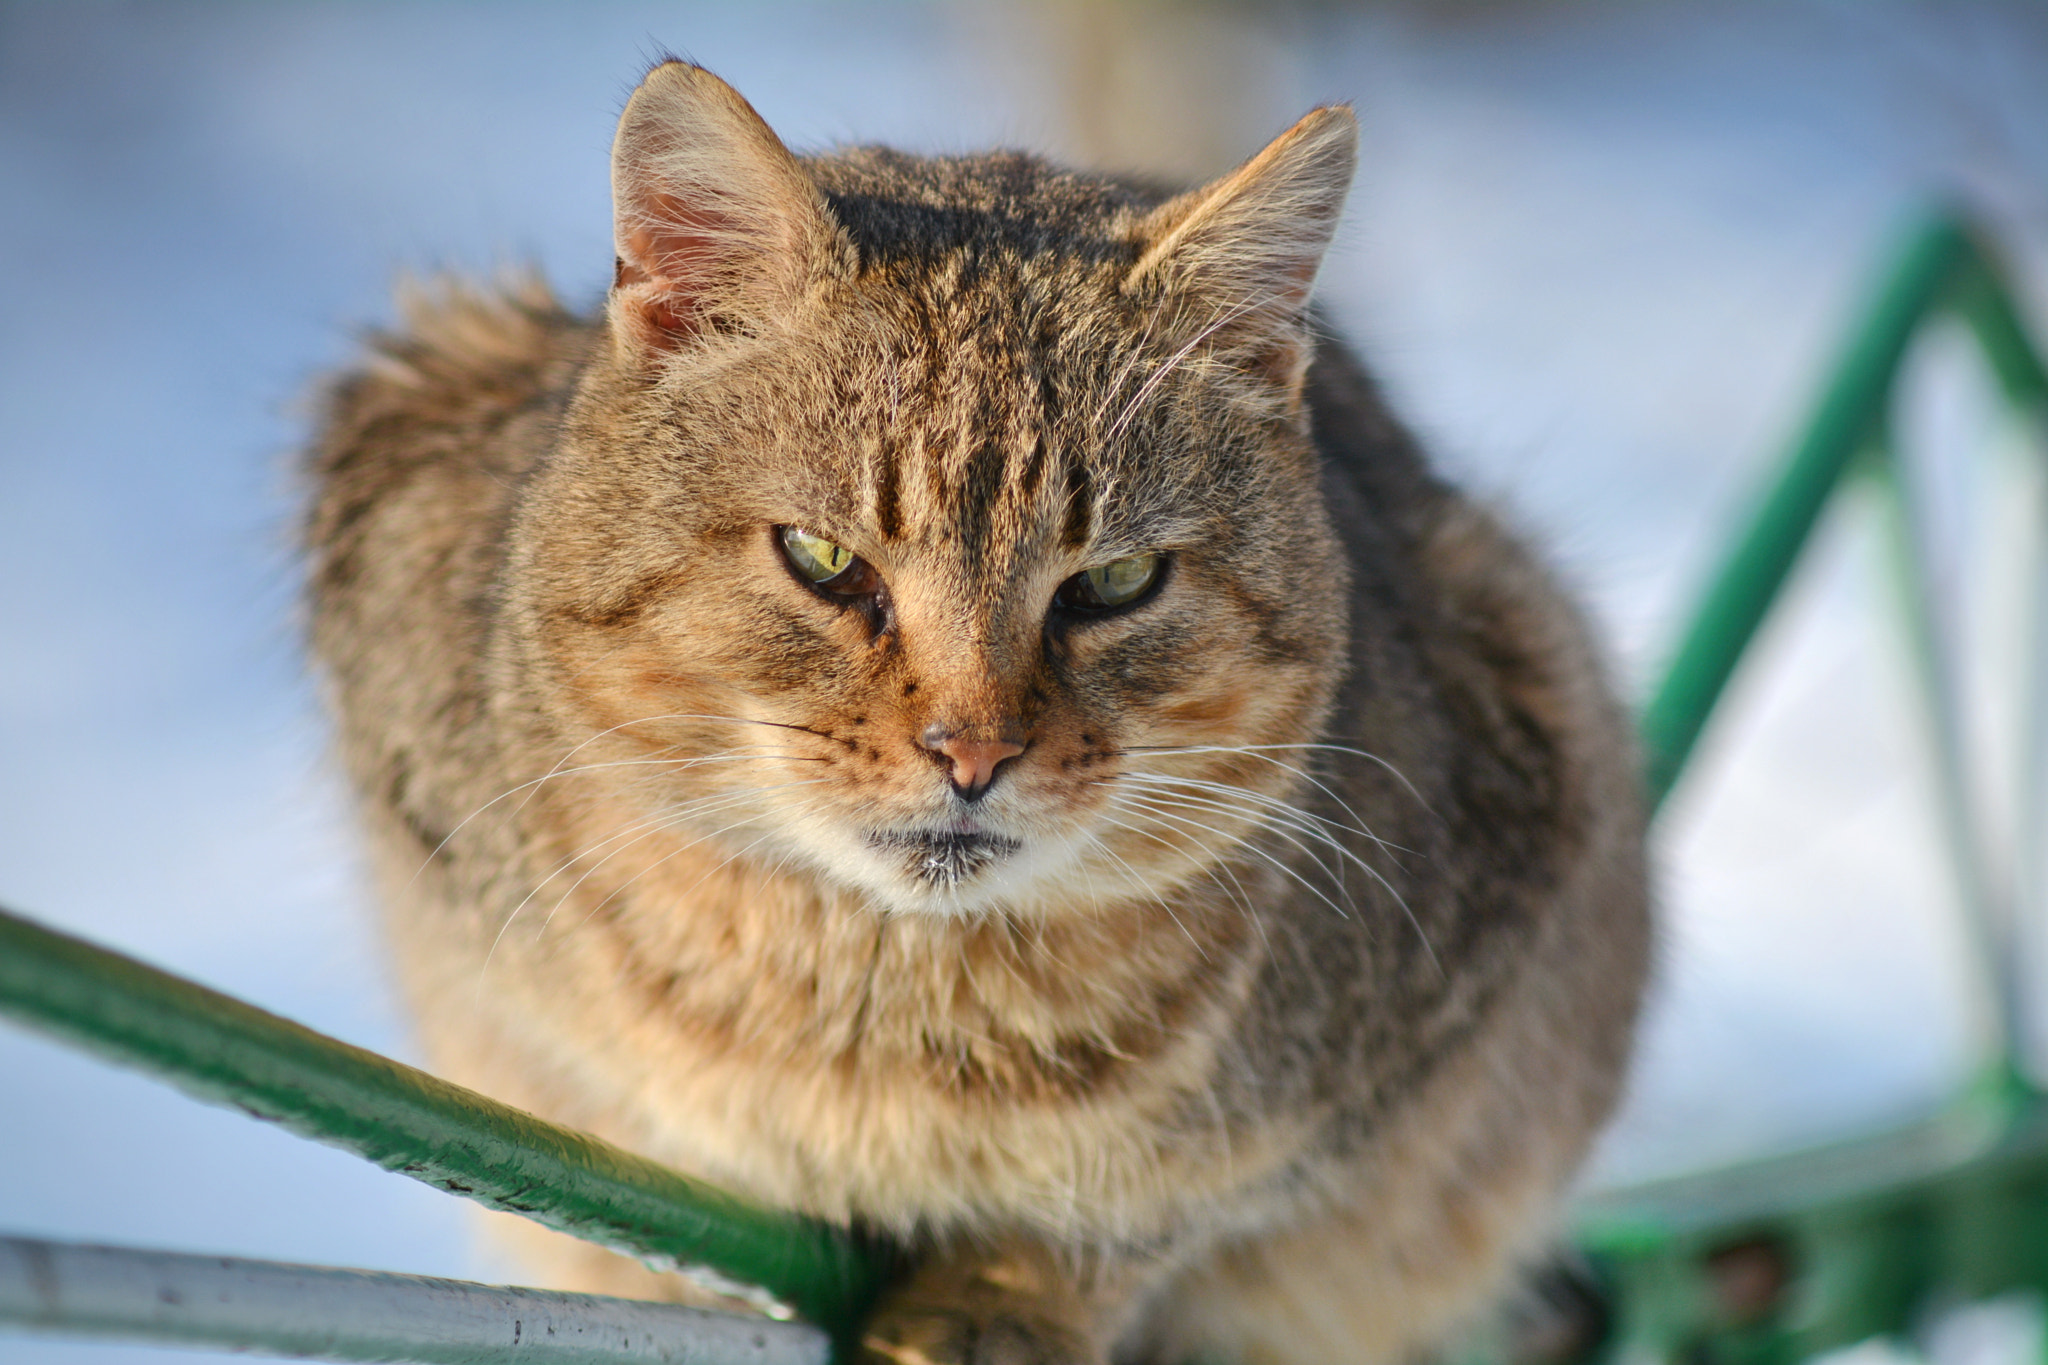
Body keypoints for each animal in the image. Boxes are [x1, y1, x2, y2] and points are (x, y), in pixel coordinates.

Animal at [299, 58, 1646, 1365]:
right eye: (823, 558)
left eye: (1115, 581)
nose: (972, 752)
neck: (880, 1019)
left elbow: (1149, 1210)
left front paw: (1007, 1294)